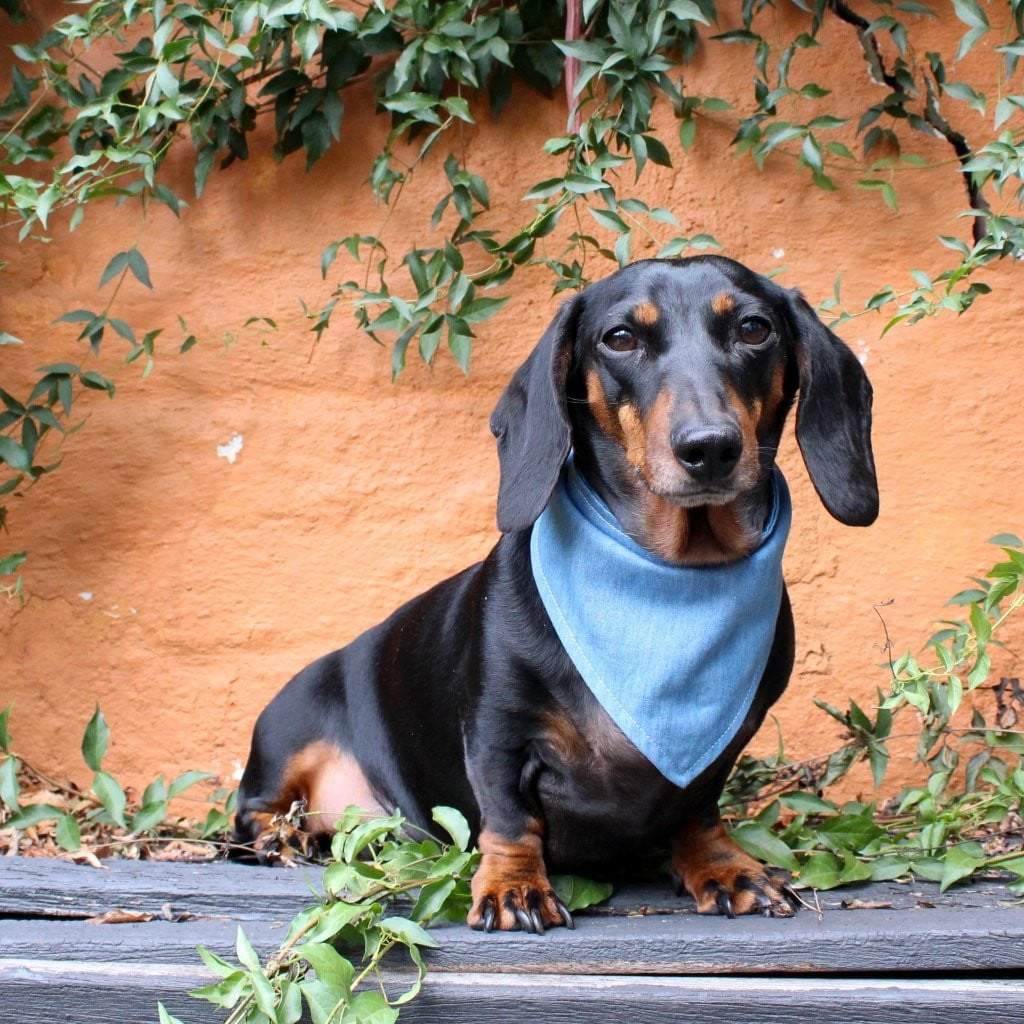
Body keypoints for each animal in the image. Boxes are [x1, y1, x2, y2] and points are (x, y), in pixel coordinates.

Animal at [235, 253, 876, 929]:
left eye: (755, 328)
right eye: (619, 338)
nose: (710, 447)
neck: (670, 578)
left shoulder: (719, 749)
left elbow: (697, 809)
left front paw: (723, 866)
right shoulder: (497, 728)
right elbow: (509, 817)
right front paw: (513, 887)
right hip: (287, 733)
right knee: (248, 815)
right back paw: (285, 837)